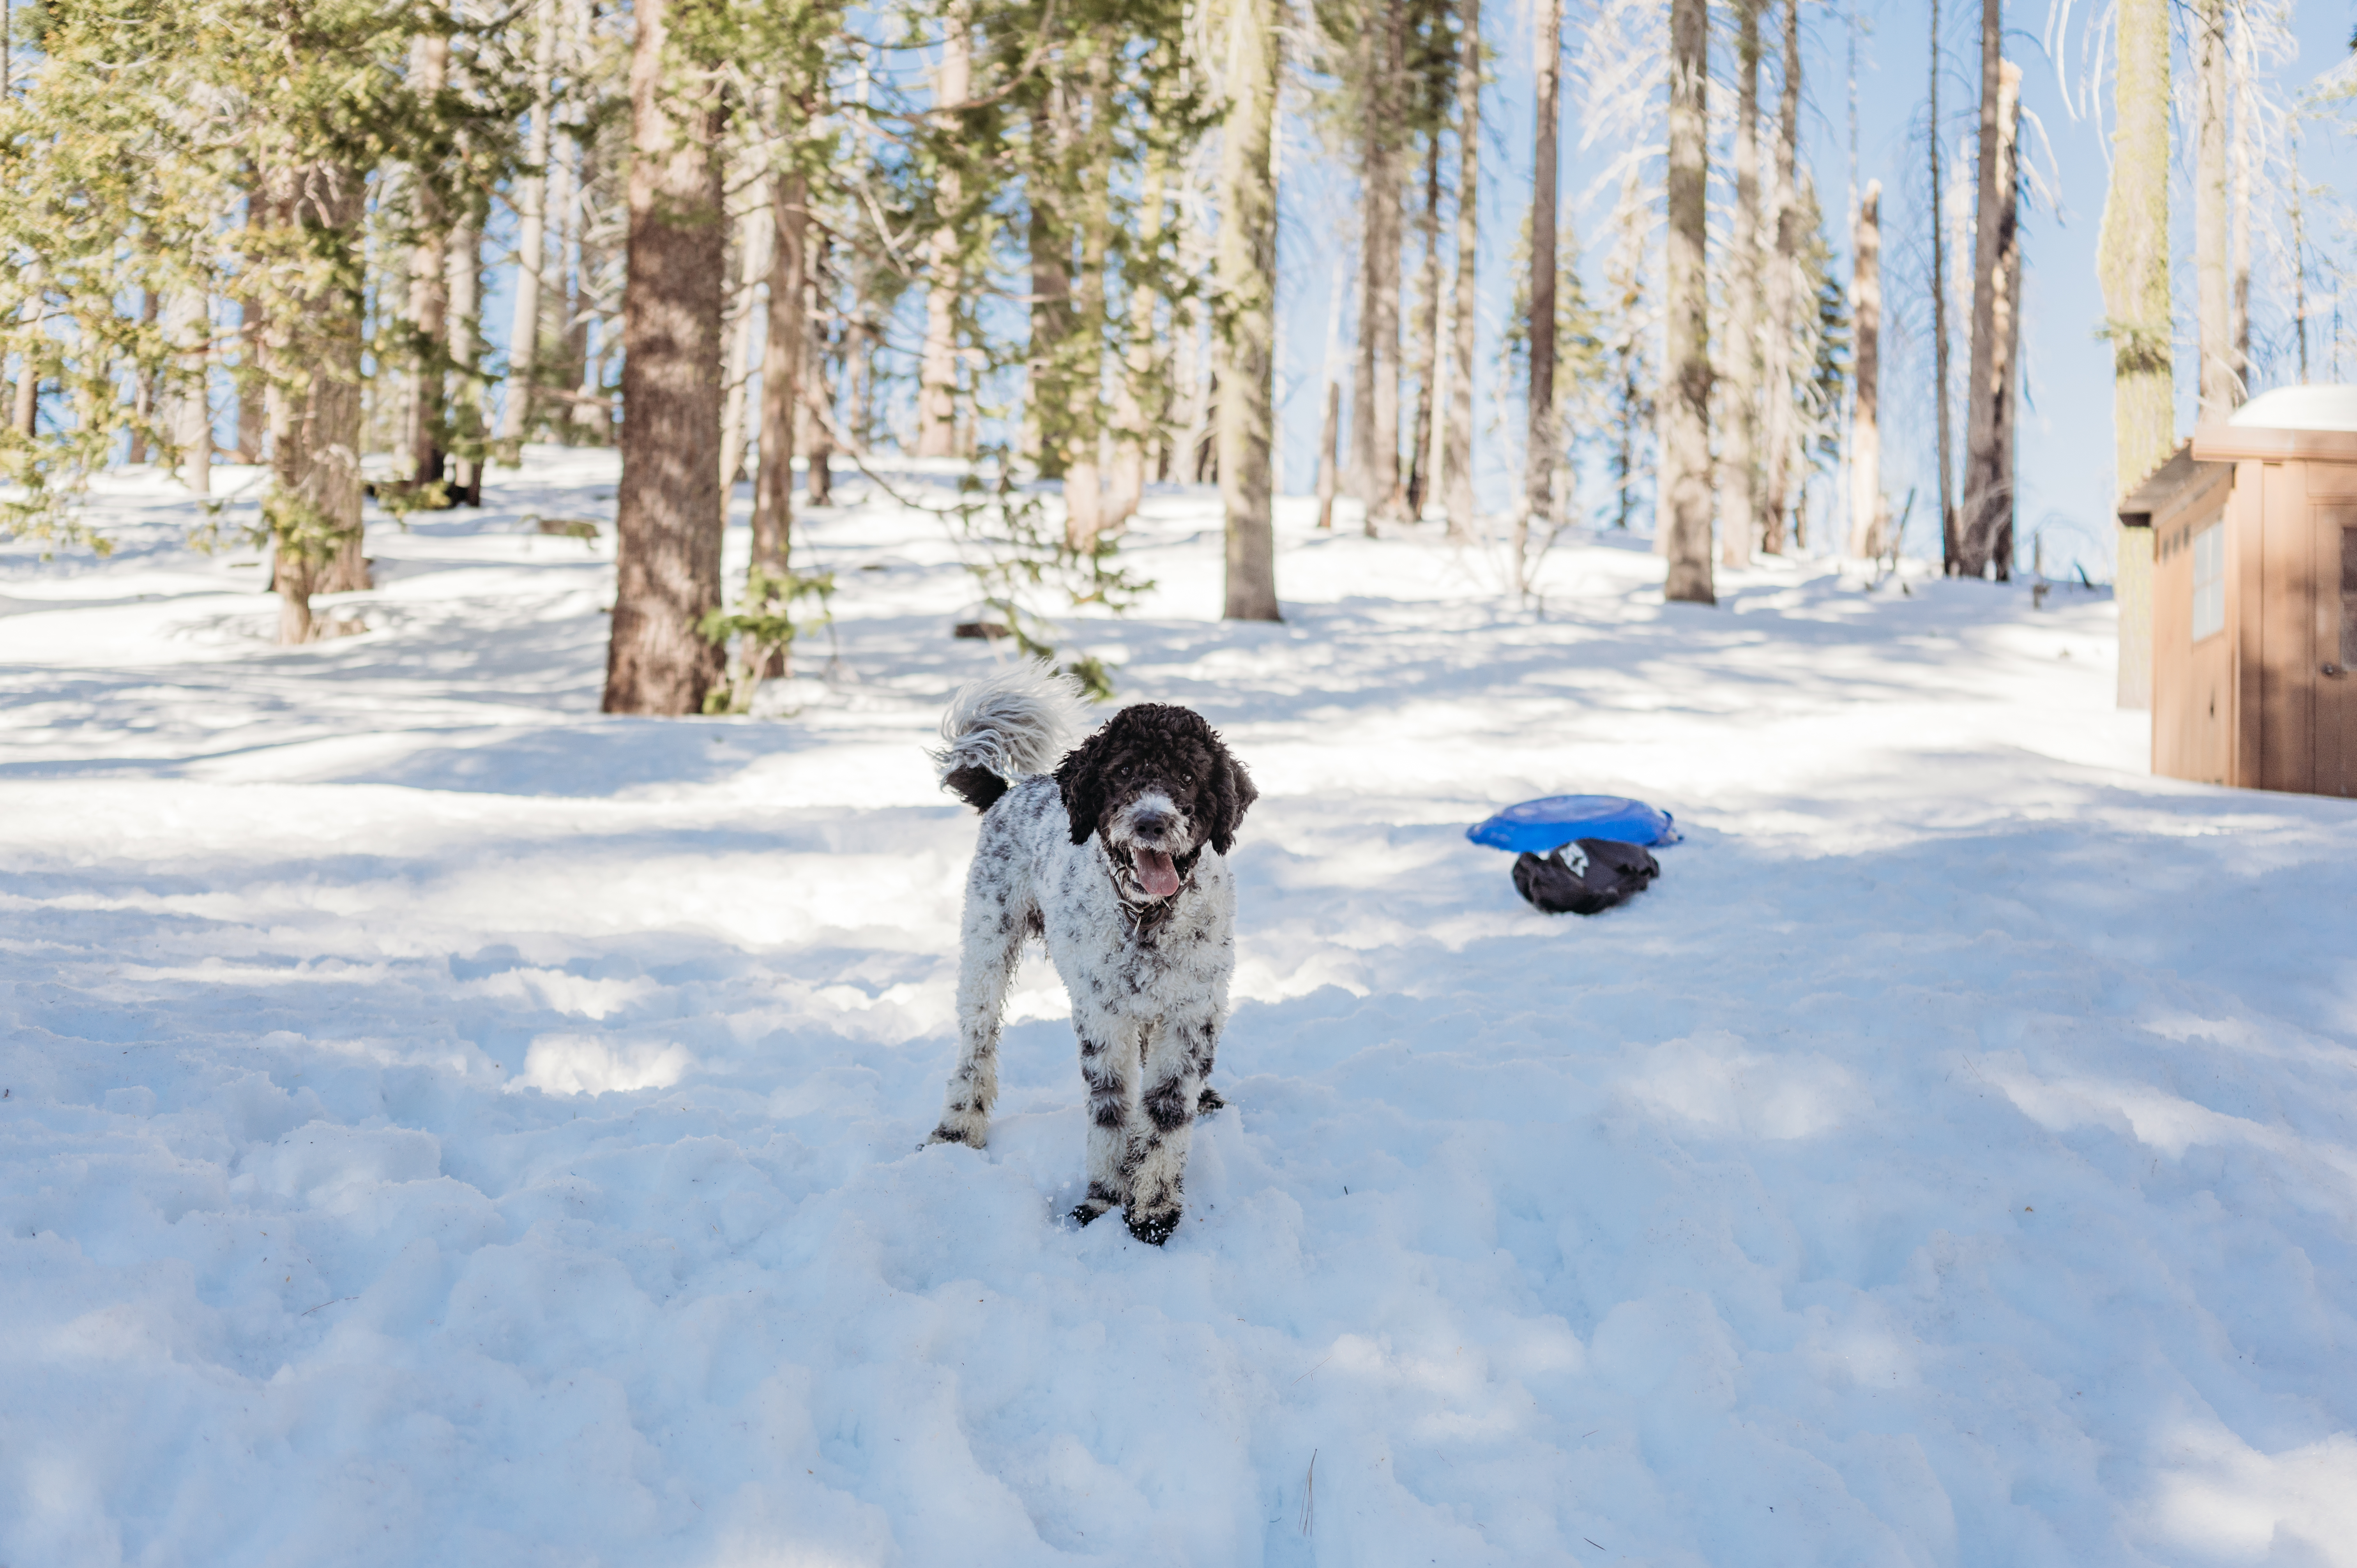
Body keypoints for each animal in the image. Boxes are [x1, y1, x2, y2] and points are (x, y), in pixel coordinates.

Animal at [919, 665, 1254, 1245]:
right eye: (1122, 771)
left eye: (1189, 776)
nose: (1151, 823)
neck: (1145, 919)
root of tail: (1008, 793)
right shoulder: (1103, 1017)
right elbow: (1111, 1108)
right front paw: (1105, 1200)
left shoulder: (1190, 1014)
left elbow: (1167, 1111)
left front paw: (1153, 1210)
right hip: (987, 946)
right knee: (975, 1045)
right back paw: (958, 1127)